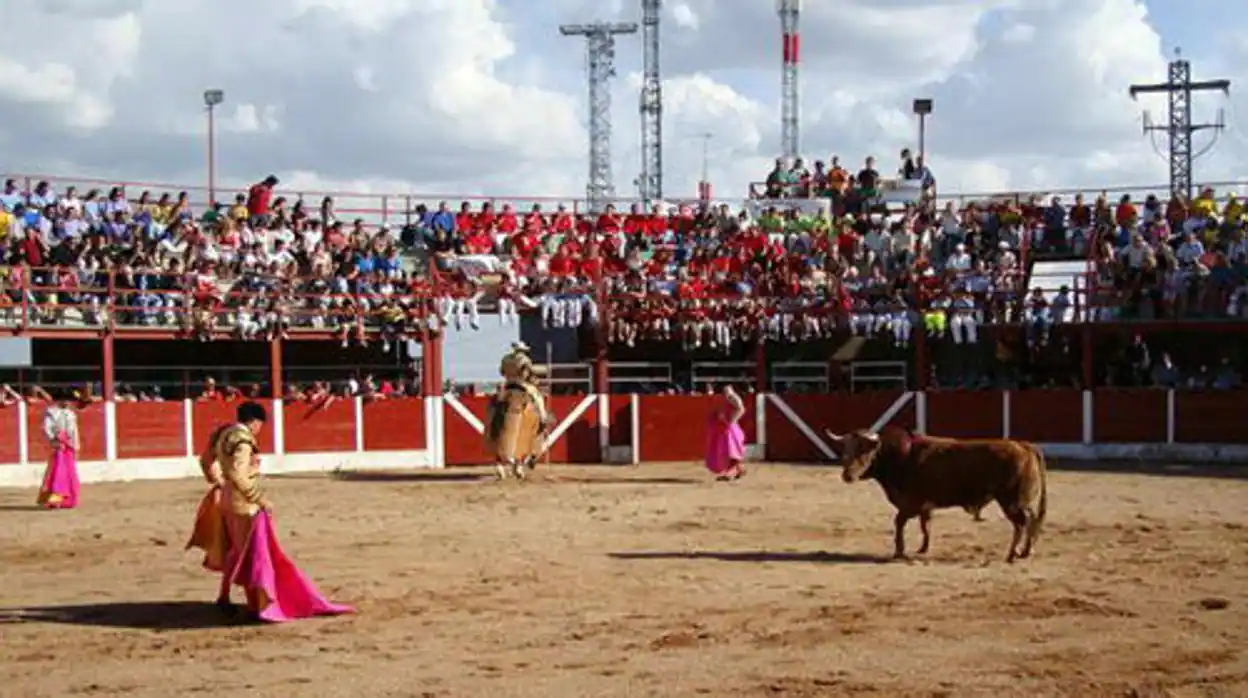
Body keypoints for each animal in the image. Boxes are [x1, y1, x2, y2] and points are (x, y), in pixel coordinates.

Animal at [828, 427, 1053, 561]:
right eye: (845, 450)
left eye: (864, 451)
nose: (847, 476)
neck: (900, 456)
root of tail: (1024, 445)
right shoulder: (925, 505)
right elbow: (925, 525)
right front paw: (923, 549)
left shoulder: (910, 503)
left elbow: (899, 522)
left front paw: (899, 551)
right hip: (1021, 501)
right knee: (1031, 520)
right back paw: (1025, 551)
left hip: (1011, 501)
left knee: (1021, 523)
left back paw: (1012, 554)